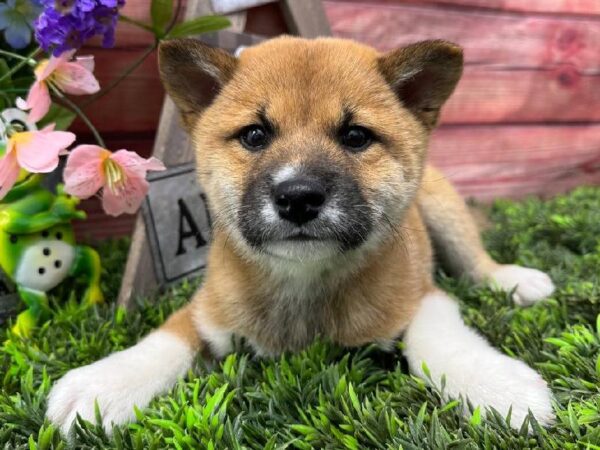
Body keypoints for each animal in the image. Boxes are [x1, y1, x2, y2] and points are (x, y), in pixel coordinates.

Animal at [47, 37, 556, 434]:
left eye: (356, 136)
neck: (305, 288)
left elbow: (440, 342)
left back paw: (516, 281)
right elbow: (165, 338)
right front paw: (104, 382)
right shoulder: (209, 308)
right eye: (254, 135)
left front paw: (498, 385)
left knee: (476, 262)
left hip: (444, 212)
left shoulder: (424, 296)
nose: (298, 197)